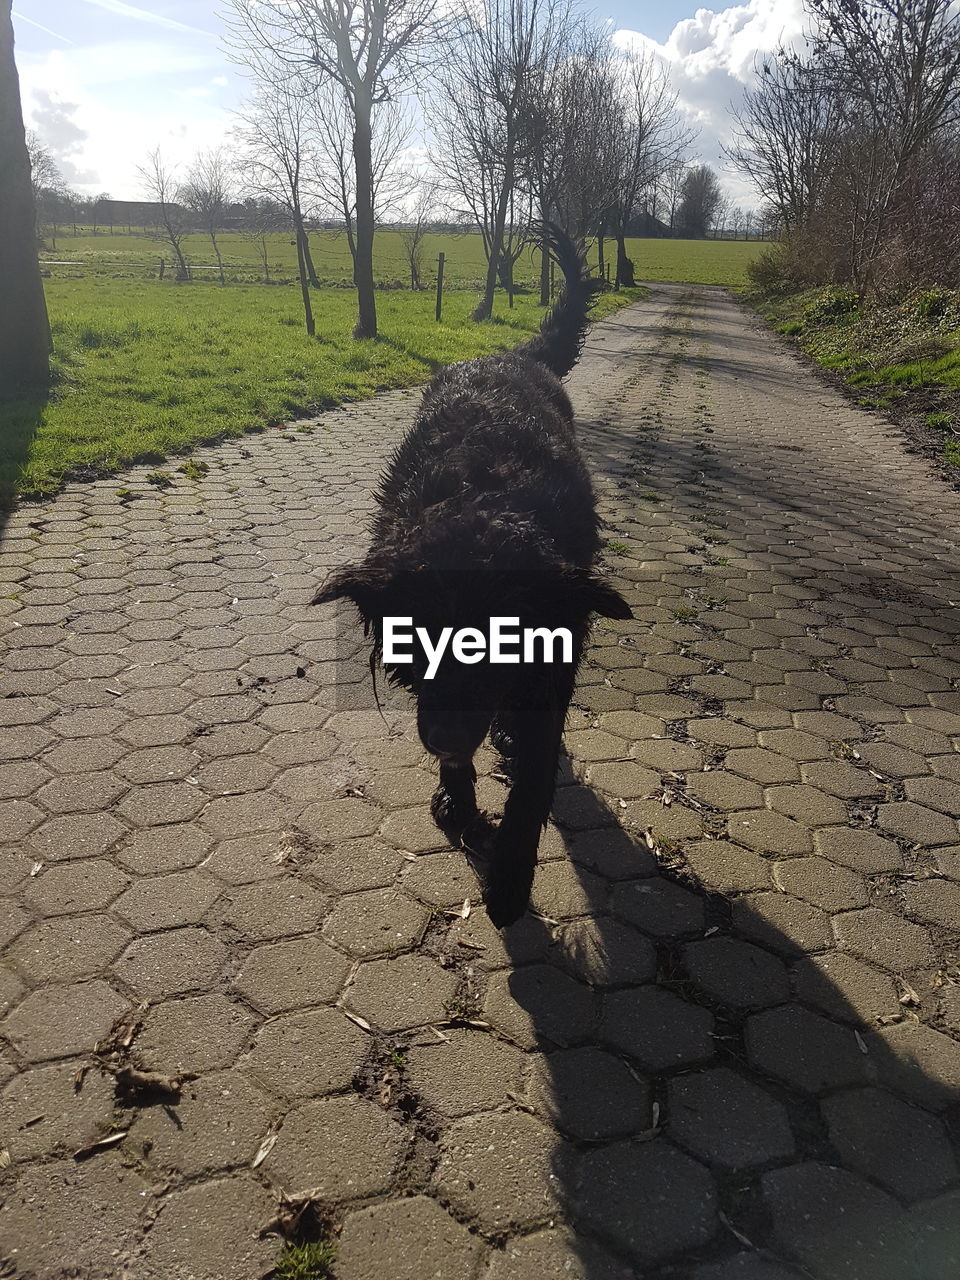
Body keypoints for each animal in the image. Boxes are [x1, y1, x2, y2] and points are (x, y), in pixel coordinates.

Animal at [316, 227, 632, 931]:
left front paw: (511, 880)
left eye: (503, 643)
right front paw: (458, 804)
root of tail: (511, 355)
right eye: (417, 637)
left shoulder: (552, 661)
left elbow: (535, 776)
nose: (446, 737)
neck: (483, 493)